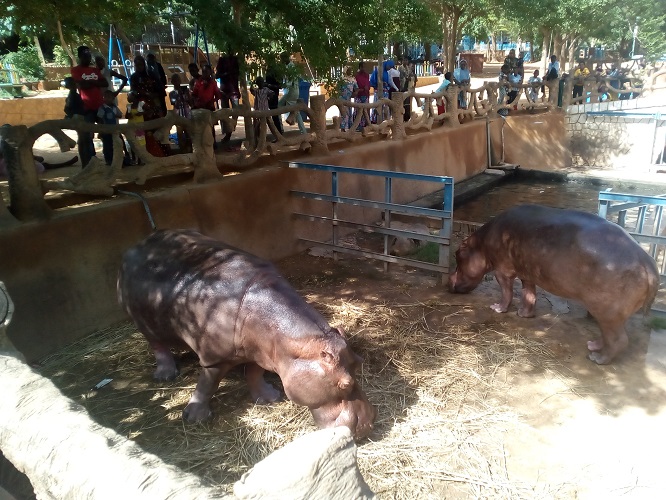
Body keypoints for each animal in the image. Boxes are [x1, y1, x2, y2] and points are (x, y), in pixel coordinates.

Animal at [118, 229, 374, 440]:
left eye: (360, 362)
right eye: (345, 384)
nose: (368, 426)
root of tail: (140, 243)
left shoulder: (260, 351)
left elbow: (254, 372)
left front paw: (269, 397)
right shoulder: (214, 358)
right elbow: (207, 384)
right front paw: (195, 418)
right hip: (144, 321)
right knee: (158, 345)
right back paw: (166, 376)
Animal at [448, 205, 656, 366]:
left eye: (457, 255)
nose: (448, 281)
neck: (480, 244)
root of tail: (647, 263)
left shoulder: (502, 271)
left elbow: (506, 291)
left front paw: (498, 308)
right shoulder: (527, 273)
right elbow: (529, 294)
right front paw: (523, 314)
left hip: (606, 311)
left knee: (619, 340)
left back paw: (596, 358)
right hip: (610, 315)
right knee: (608, 335)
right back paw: (592, 345)